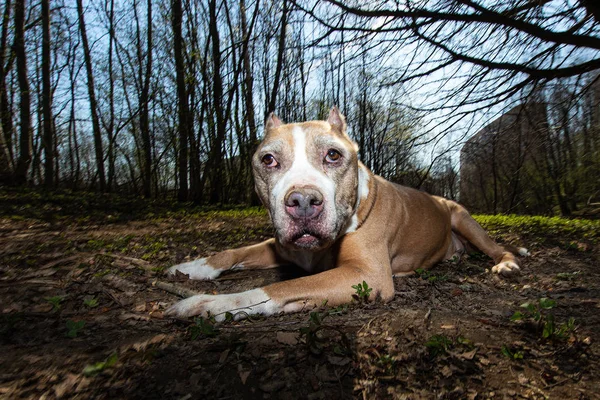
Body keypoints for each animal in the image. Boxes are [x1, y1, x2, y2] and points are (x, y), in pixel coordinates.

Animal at [164, 108, 524, 320]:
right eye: (268, 160)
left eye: (333, 155)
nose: (303, 201)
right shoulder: (282, 247)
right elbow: (235, 252)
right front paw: (194, 267)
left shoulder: (366, 275)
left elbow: (283, 287)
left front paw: (212, 304)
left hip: (462, 217)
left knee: (497, 247)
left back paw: (506, 263)